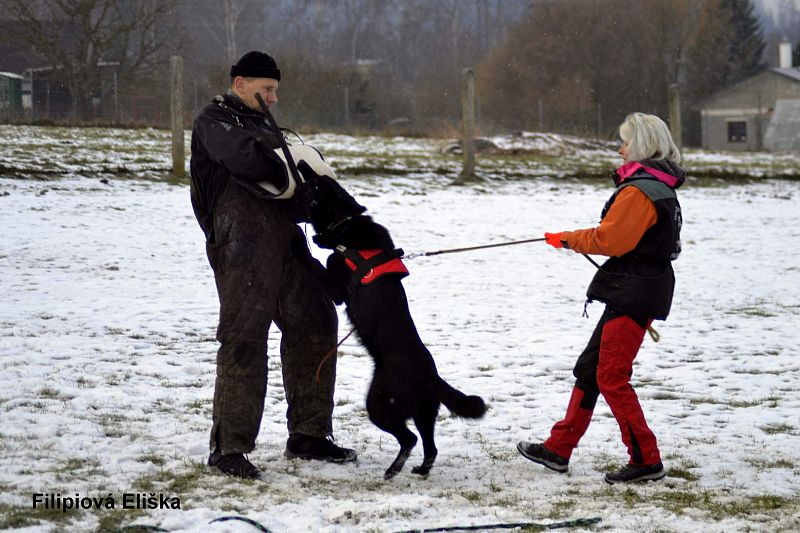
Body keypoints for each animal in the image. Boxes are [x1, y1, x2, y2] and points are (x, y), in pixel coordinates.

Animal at [302, 170, 484, 478]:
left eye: (317, 184)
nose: (303, 165)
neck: (346, 225)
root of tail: (431, 377)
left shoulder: (337, 289)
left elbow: (315, 263)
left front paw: (301, 246)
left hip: (379, 404)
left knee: (409, 439)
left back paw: (393, 469)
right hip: (424, 415)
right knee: (430, 448)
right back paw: (420, 470)